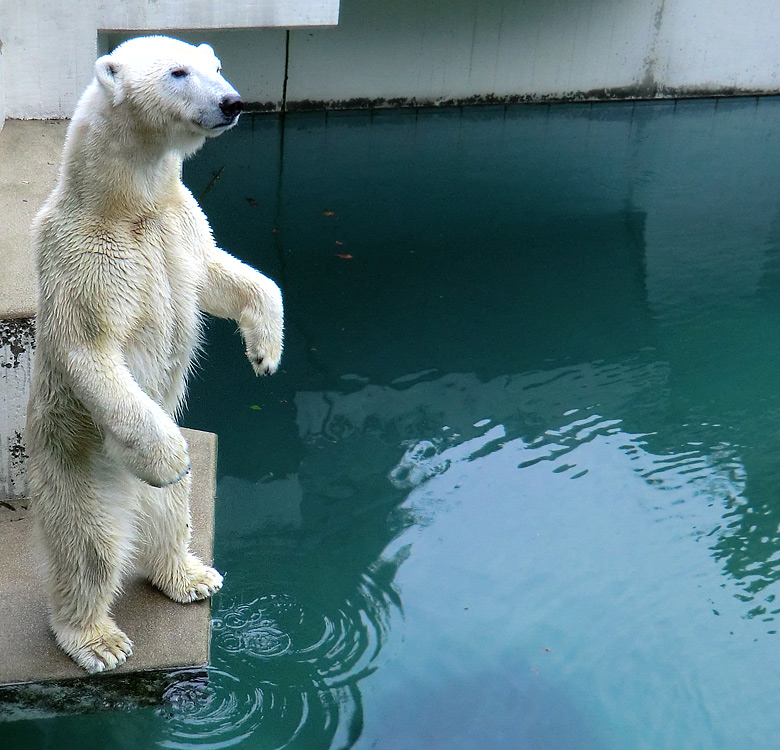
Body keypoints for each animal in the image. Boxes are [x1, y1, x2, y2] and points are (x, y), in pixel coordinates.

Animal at [25, 36, 284, 676]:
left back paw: (191, 576)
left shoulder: (180, 226)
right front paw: (168, 460)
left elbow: (218, 273)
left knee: (173, 518)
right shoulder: (80, 258)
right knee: (90, 547)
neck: (123, 205)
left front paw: (265, 351)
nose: (233, 102)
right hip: (78, 468)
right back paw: (96, 638)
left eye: (216, 66)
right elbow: (89, 349)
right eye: (178, 72)